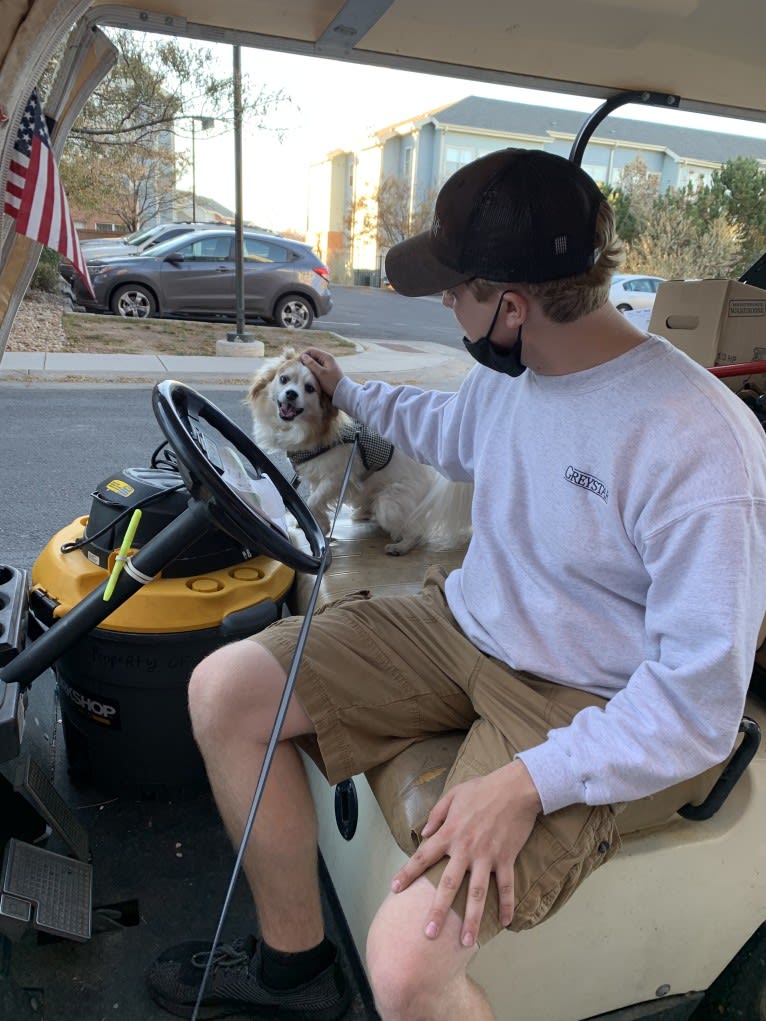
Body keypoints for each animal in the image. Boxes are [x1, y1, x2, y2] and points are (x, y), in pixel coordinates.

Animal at [247, 351, 473, 559]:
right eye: (284, 379)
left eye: (310, 389)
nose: (291, 394)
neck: (305, 430)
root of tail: (432, 477)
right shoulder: (316, 476)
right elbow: (314, 499)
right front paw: (321, 524)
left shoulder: (337, 478)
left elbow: (312, 501)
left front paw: (322, 525)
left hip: (389, 503)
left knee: (417, 531)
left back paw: (400, 546)